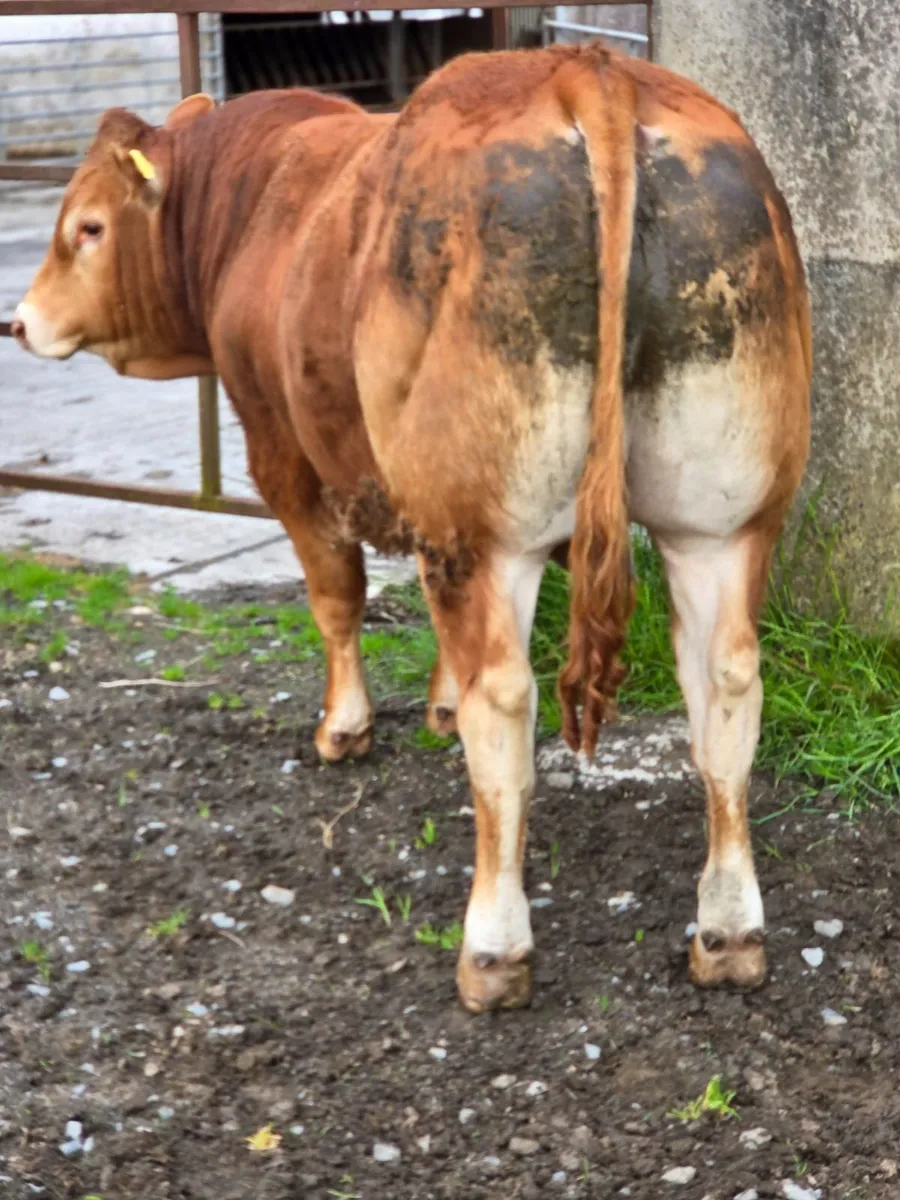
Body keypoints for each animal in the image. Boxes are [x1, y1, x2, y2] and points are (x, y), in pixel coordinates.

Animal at [12, 43, 812, 1014]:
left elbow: (337, 596)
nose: (20, 319)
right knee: (724, 685)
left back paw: (493, 951)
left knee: (505, 704)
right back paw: (728, 934)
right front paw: (434, 702)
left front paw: (344, 729)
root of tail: (587, 67)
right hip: (721, 519)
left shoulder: (283, 452)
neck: (252, 204)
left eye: (87, 227)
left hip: (488, 526)